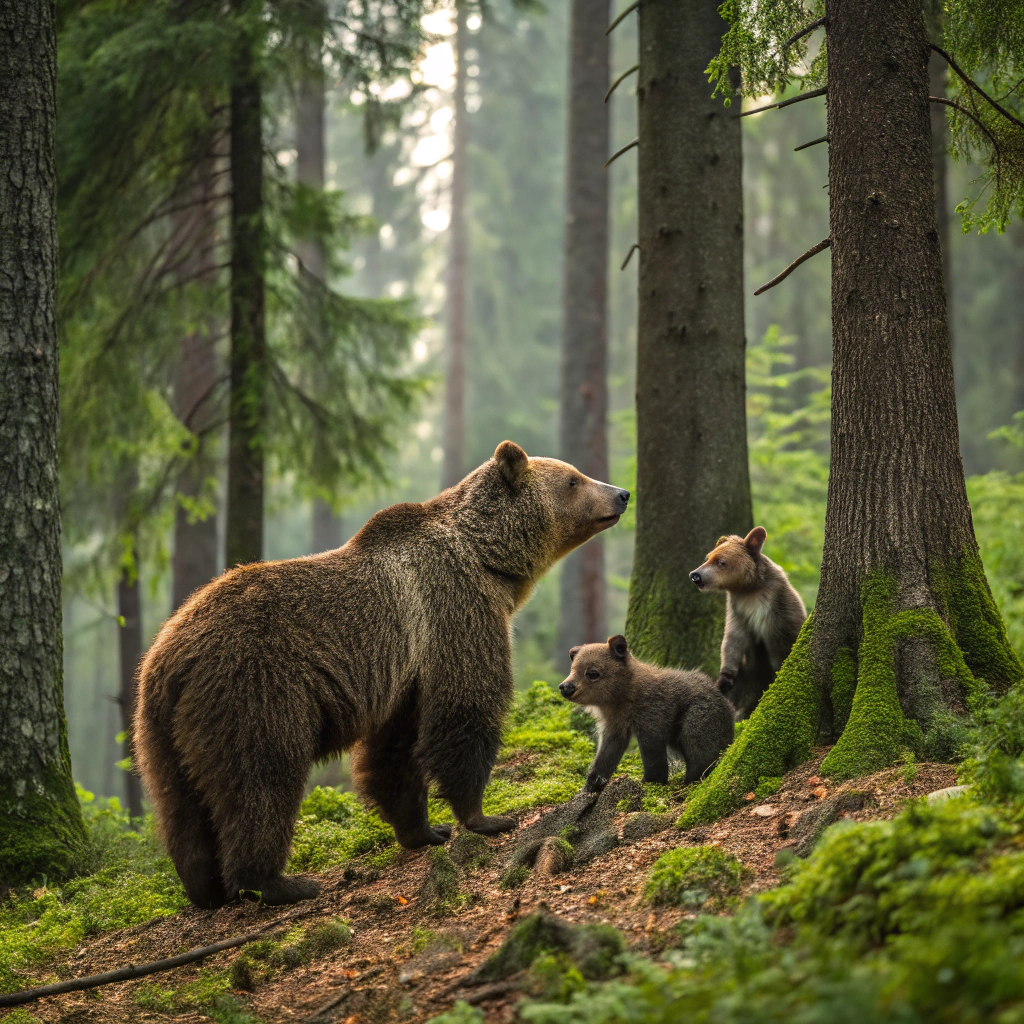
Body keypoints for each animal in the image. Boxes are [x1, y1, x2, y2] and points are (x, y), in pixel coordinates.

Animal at [133, 441, 629, 908]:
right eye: (573, 479)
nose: (622, 493)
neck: (490, 561)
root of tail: (171, 657)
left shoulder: (406, 673)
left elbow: (396, 750)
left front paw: (425, 830)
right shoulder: (454, 612)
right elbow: (465, 708)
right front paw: (484, 817)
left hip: (161, 727)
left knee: (178, 801)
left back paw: (204, 887)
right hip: (253, 688)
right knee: (260, 781)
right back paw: (277, 882)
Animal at [558, 635, 734, 791]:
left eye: (592, 673)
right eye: (573, 668)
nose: (566, 687)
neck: (621, 698)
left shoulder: (651, 713)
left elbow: (652, 751)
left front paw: (650, 780)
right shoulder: (614, 722)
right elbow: (608, 750)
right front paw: (591, 784)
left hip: (697, 714)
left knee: (699, 745)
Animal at [688, 526, 807, 719]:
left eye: (721, 562)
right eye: (709, 557)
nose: (695, 575)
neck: (749, 589)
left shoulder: (778, 612)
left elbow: (781, 649)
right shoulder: (739, 611)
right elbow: (733, 640)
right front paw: (724, 681)